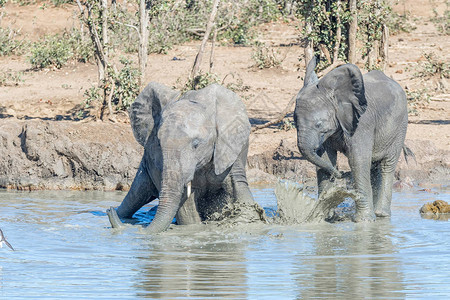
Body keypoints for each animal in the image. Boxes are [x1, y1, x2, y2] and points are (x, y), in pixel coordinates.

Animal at [106, 82, 260, 234]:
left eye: (196, 144)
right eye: (159, 143)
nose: (109, 210)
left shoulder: (229, 146)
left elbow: (238, 184)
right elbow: (186, 208)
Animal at [294, 58, 410, 221]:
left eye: (318, 124)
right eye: (294, 123)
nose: (340, 174)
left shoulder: (362, 123)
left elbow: (357, 160)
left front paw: (364, 221)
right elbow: (326, 159)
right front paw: (325, 217)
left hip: (399, 126)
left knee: (387, 165)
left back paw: (381, 214)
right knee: (374, 167)